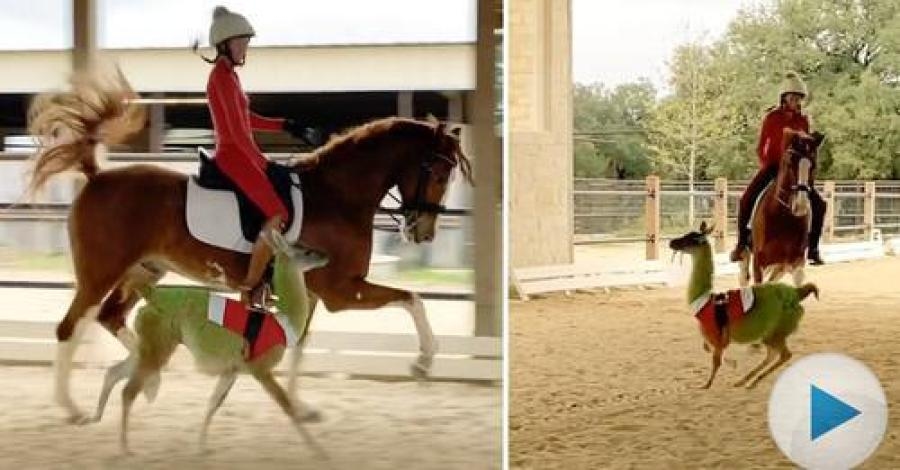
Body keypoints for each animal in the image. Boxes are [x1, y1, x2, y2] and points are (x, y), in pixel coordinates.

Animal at [24, 67, 474, 422]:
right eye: (437, 172)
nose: (423, 232)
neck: (336, 196)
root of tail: (98, 176)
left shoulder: (313, 293)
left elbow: (299, 344)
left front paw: (299, 407)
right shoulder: (341, 290)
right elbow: (412, 298)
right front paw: (424, 361)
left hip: (144, 271)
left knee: (109, 318)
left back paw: (145, 370)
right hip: (101, 272)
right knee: (70, 326)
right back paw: (73, 408)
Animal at [740, 130, 824, 288]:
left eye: (813, 166)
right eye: (791, 163)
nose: (801, 205)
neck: (782, 218)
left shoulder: (796, 264)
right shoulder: (758, 264)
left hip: (781, 266)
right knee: (744, 274)